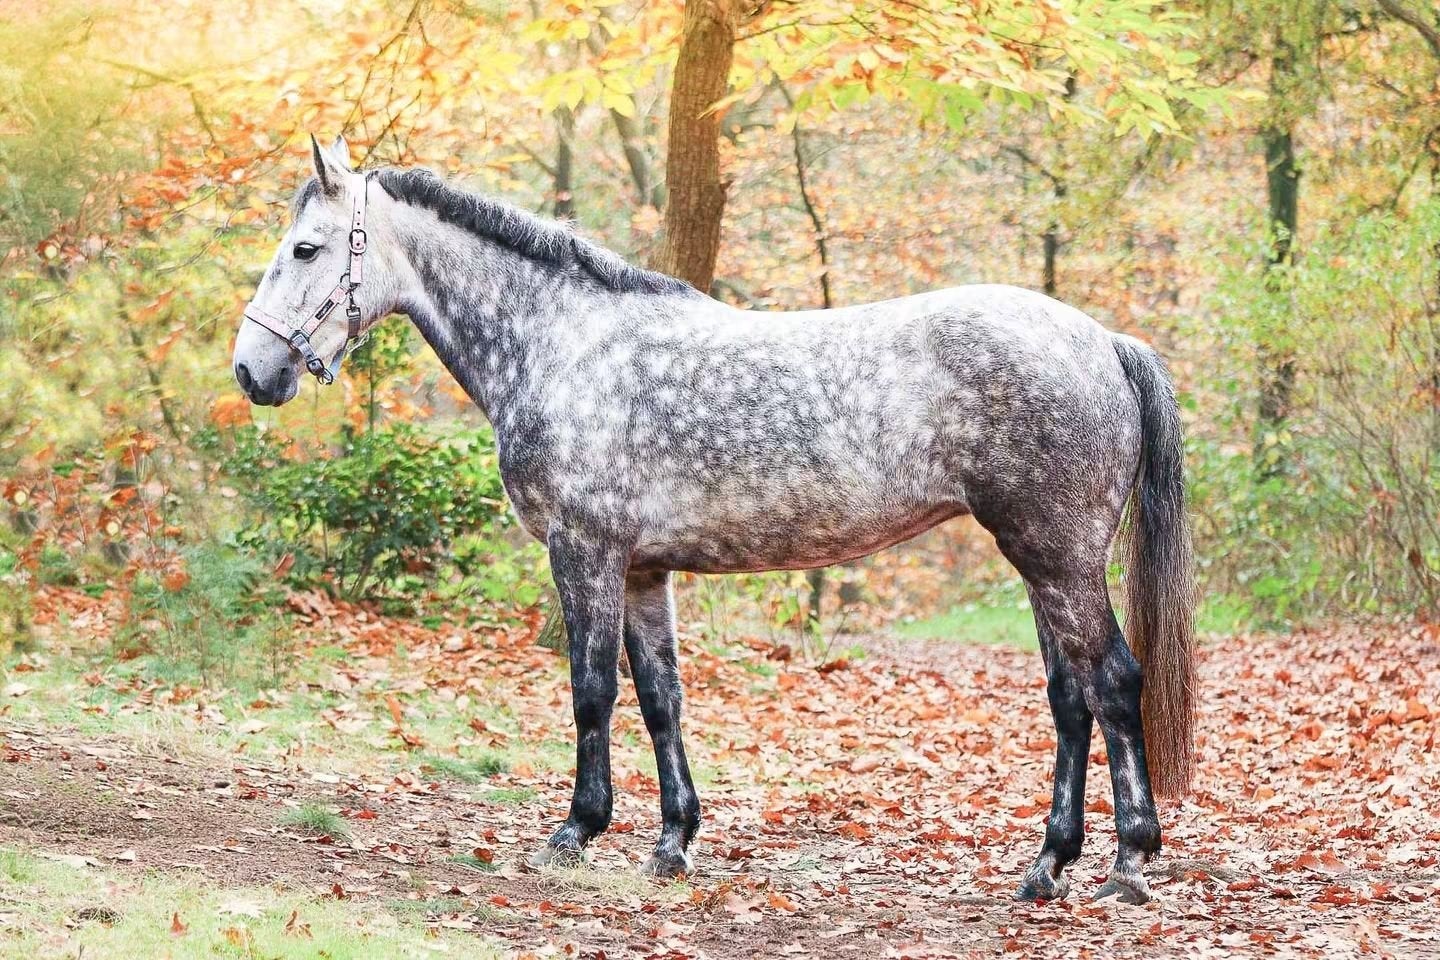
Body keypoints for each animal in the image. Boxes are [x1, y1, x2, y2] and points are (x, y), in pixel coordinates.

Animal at [233, 136, 1196, 905]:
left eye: (307, 247)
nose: (252, 370)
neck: (564, 344)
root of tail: (1105, 342)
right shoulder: (643, 570)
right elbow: (661, 698)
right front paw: (672, 843)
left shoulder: (584, 553)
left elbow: (591, 692)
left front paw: (575, 832)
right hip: (1041, 563)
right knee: (1070, 700)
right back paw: (1049, 865)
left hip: (1059, 558)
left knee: (1114, 684)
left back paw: (1127, 864)